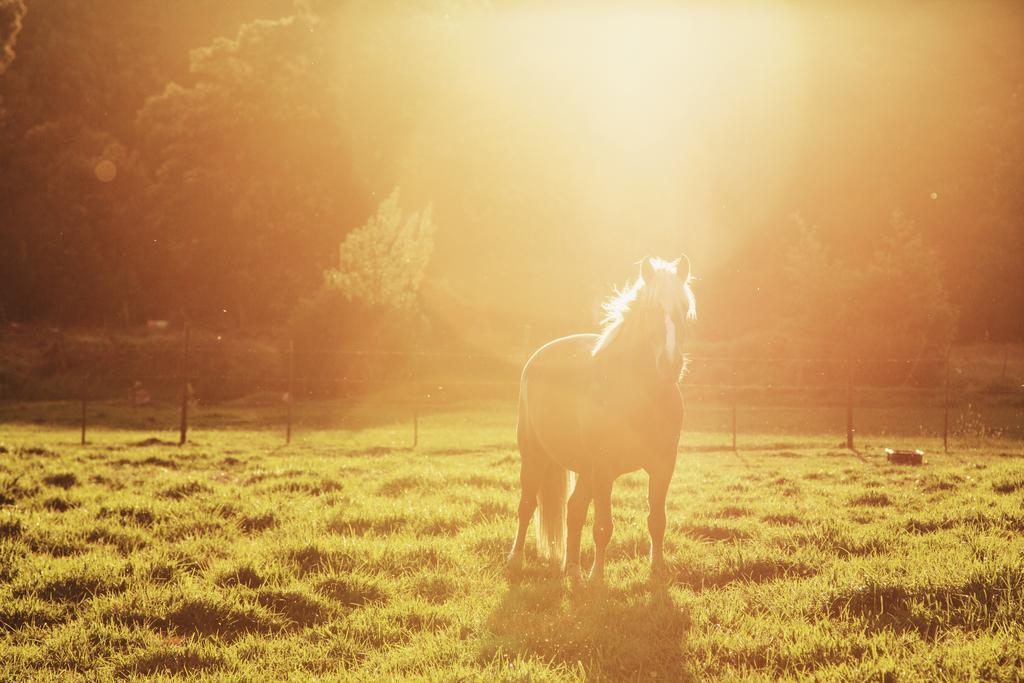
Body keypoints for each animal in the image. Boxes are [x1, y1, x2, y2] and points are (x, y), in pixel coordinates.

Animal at [505, 255, 696, 581]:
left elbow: (657, 520)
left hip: (585, 470)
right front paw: (597, 578)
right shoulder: (605, 469)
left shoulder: (662, 466)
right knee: (527, 505)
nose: (670, 365)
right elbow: (604, 526)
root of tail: (537, 358)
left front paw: (657, 570)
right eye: (650, 310)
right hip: (535, 458)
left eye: (684, 308)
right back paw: (516, 560)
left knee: (573, 510)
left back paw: (572, 571)